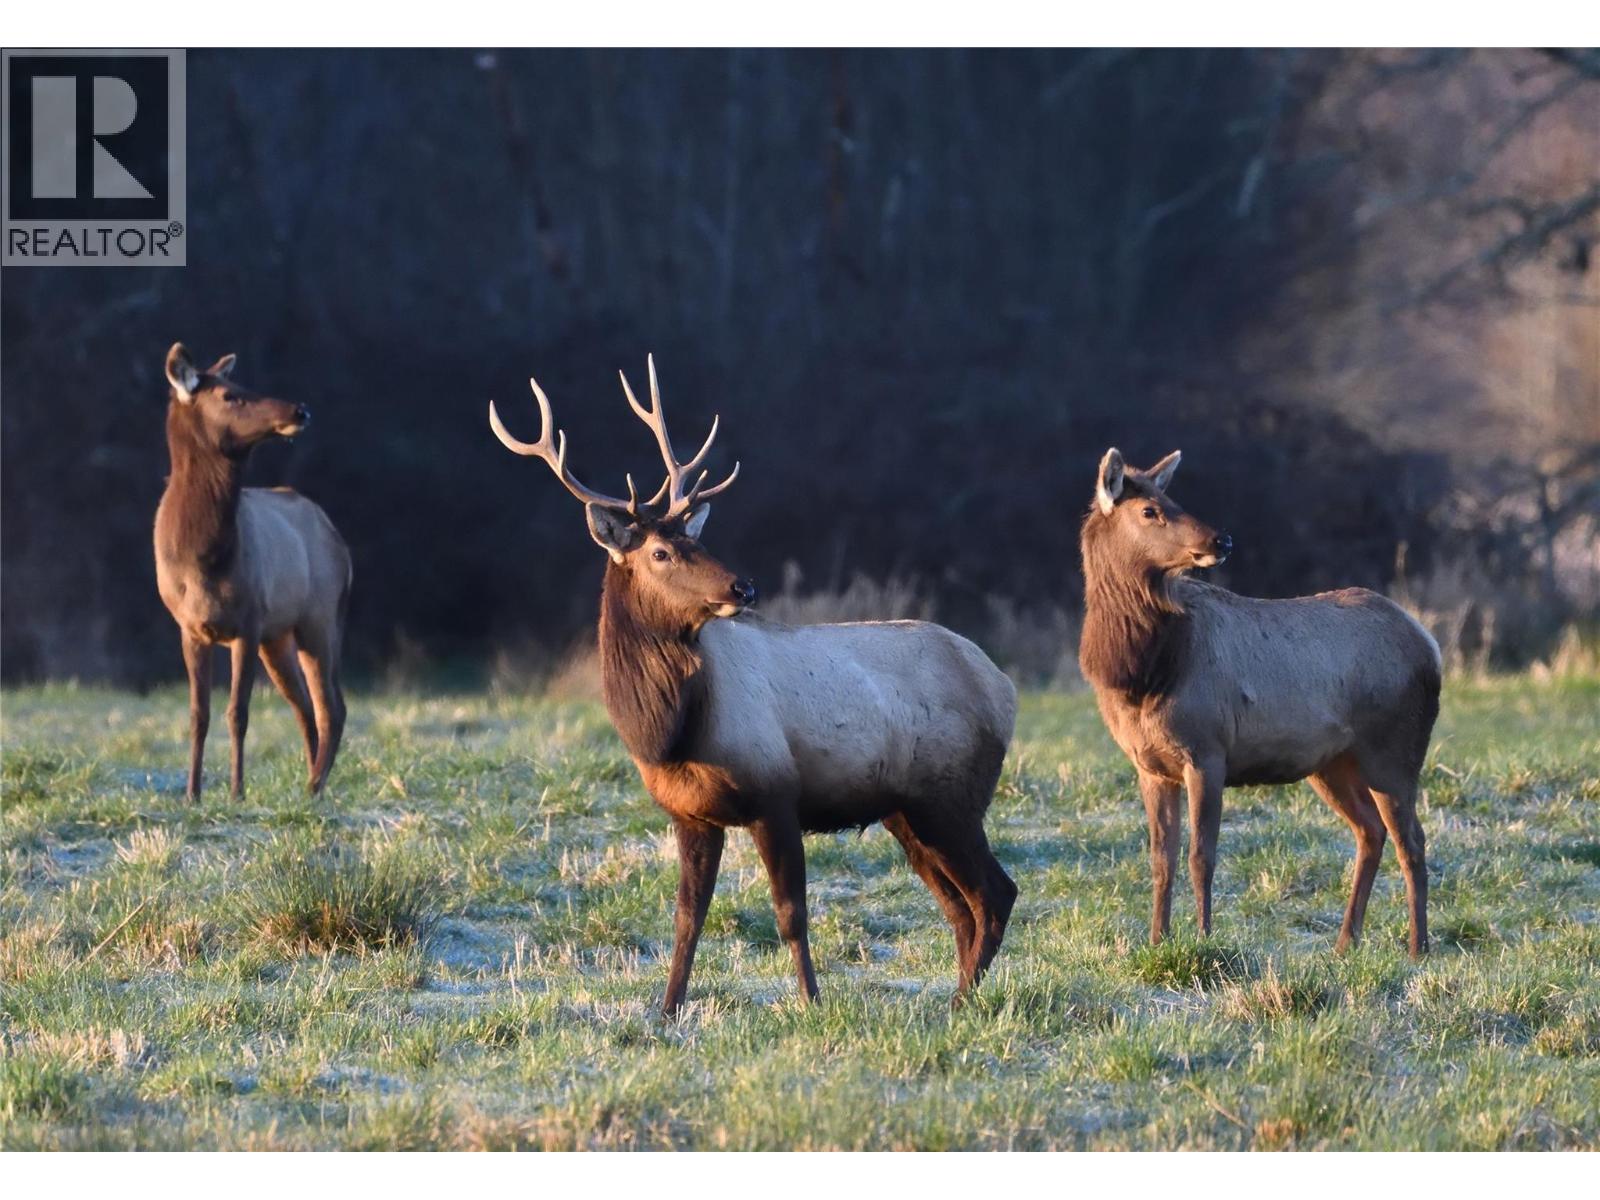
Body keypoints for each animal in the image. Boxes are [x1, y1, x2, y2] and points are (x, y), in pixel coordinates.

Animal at [153, 343, 352, 801]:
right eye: (230, 395)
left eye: (242, 386)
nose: (300, 409)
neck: (203, 559)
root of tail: (341, 543)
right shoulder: (190, 628)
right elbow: (198, 714)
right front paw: (192, 794)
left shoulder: (247, 620)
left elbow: (237, 713)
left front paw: (236, 792)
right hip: (277, 638)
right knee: (305, 706)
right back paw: (311, 781)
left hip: (320, 616)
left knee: (331, 705)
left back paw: (315, 784)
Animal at [490, 357, 1019, 1014]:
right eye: (661, 551)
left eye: (698, 539)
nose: (743, 586)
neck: (669, 734)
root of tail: (1002, 687)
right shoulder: (691, 814)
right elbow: (687, 918)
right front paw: (666, 1011)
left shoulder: (776, 794)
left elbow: (791, 914)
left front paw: (812, 1002)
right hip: (907, 810)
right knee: (961, 906)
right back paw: (955, 996)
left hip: (950, 796)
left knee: (995, 894)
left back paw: (960, 1004)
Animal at [1078, 448, 1440, 957]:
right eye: (1150, 510)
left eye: (1172, 499)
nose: (1221, 538)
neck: (1145, 676)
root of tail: (1430, 643)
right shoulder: (1149, 765)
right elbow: (1160, 859)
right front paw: (1155, 940)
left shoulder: (1208, 751)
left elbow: (1201, 856)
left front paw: (1204, 938)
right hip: (1333, 764)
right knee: (1371, 830)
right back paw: (1345, 941)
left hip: (1393, 750)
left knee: (1413, 840)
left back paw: (1416, 946)